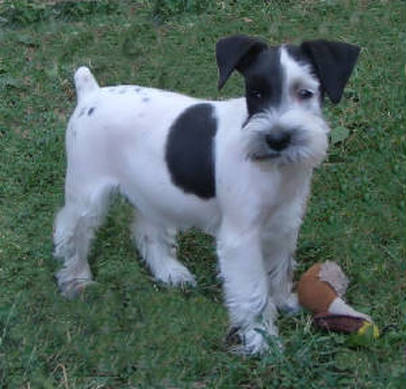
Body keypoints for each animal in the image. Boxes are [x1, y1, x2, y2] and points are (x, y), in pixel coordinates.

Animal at [53, 34, 358, 354]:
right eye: (256, 93)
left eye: (305, 93)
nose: (277, 139)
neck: (272, 168)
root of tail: (91, 94)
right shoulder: (241, 239)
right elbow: (253, 290)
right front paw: (262, 338)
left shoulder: (284, 223)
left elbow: (280, 269)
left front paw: (284, 301)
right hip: (86, 193)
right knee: (71, 233)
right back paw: (76, 279)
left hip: (152, 191)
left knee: (147, 231)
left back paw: (169, 271)